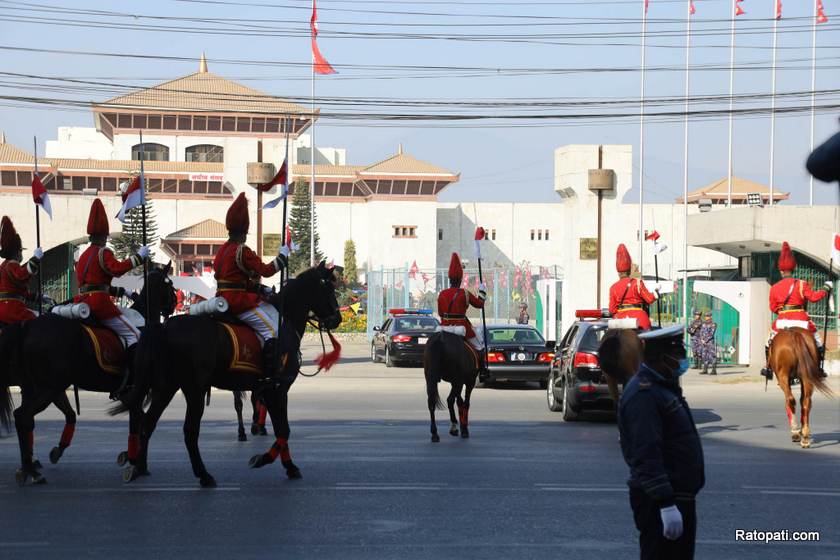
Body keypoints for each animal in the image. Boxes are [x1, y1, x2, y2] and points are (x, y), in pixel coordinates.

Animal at [0, 264, 174, 486]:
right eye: (170, 285)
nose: (174, 305)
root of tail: (27, 326)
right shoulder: (136, 392)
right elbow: (138, 424)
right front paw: (135, 463)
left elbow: (137, 422)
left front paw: (133, 459)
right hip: (47, 389)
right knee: (23, 417)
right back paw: (31, 470)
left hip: (44, 387)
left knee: (26, 419)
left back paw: (29, 467)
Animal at [114, 262, 342, 486]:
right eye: (329, 288)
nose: (337, 319)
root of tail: (164, 327)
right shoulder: (277, 389)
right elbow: (283, 429)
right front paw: (263, 459)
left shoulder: (274, 391)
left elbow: (281, 429)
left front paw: (289, 466)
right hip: (194, 390)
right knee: (189, 430)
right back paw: (203, 474)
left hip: (166, 387)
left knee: (148, 422)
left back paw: (139, 467)